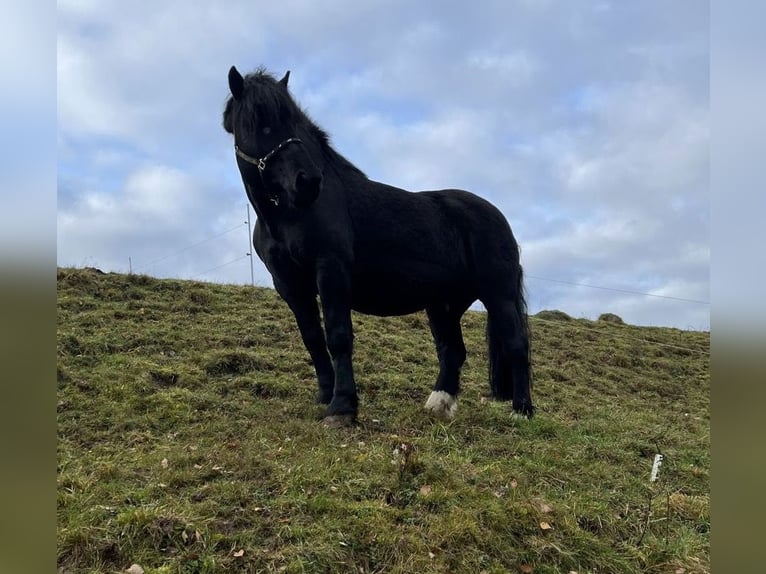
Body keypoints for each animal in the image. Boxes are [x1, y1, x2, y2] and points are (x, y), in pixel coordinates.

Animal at [222, 66, 533, 426]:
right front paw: (325, 396)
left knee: (516, 345)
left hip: (498, 295)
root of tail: (498, 219)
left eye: (293, 121)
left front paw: (342, 407)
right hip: (444, 304)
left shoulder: (331, 270)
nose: (308, 181)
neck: (290, 215)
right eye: (259, 121)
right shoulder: (289, 284)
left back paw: (522, 411)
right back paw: (438, 404)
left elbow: (338, 336)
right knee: (452, 351)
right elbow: (312, 339)